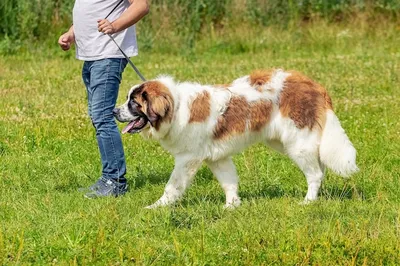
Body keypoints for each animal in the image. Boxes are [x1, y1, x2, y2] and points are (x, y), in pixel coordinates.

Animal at [113, 69, 360, 209]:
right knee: (319, 167)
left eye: (133, 103)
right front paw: (232, 206)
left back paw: (308, 201)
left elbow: (172, 186)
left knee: (315, 174)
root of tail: (314, 85)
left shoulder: (187, 159)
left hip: (297, 143)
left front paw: (158, 206)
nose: (114, 111)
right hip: (289, 142)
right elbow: (228, 181)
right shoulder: (217, 158)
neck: (177, 106)